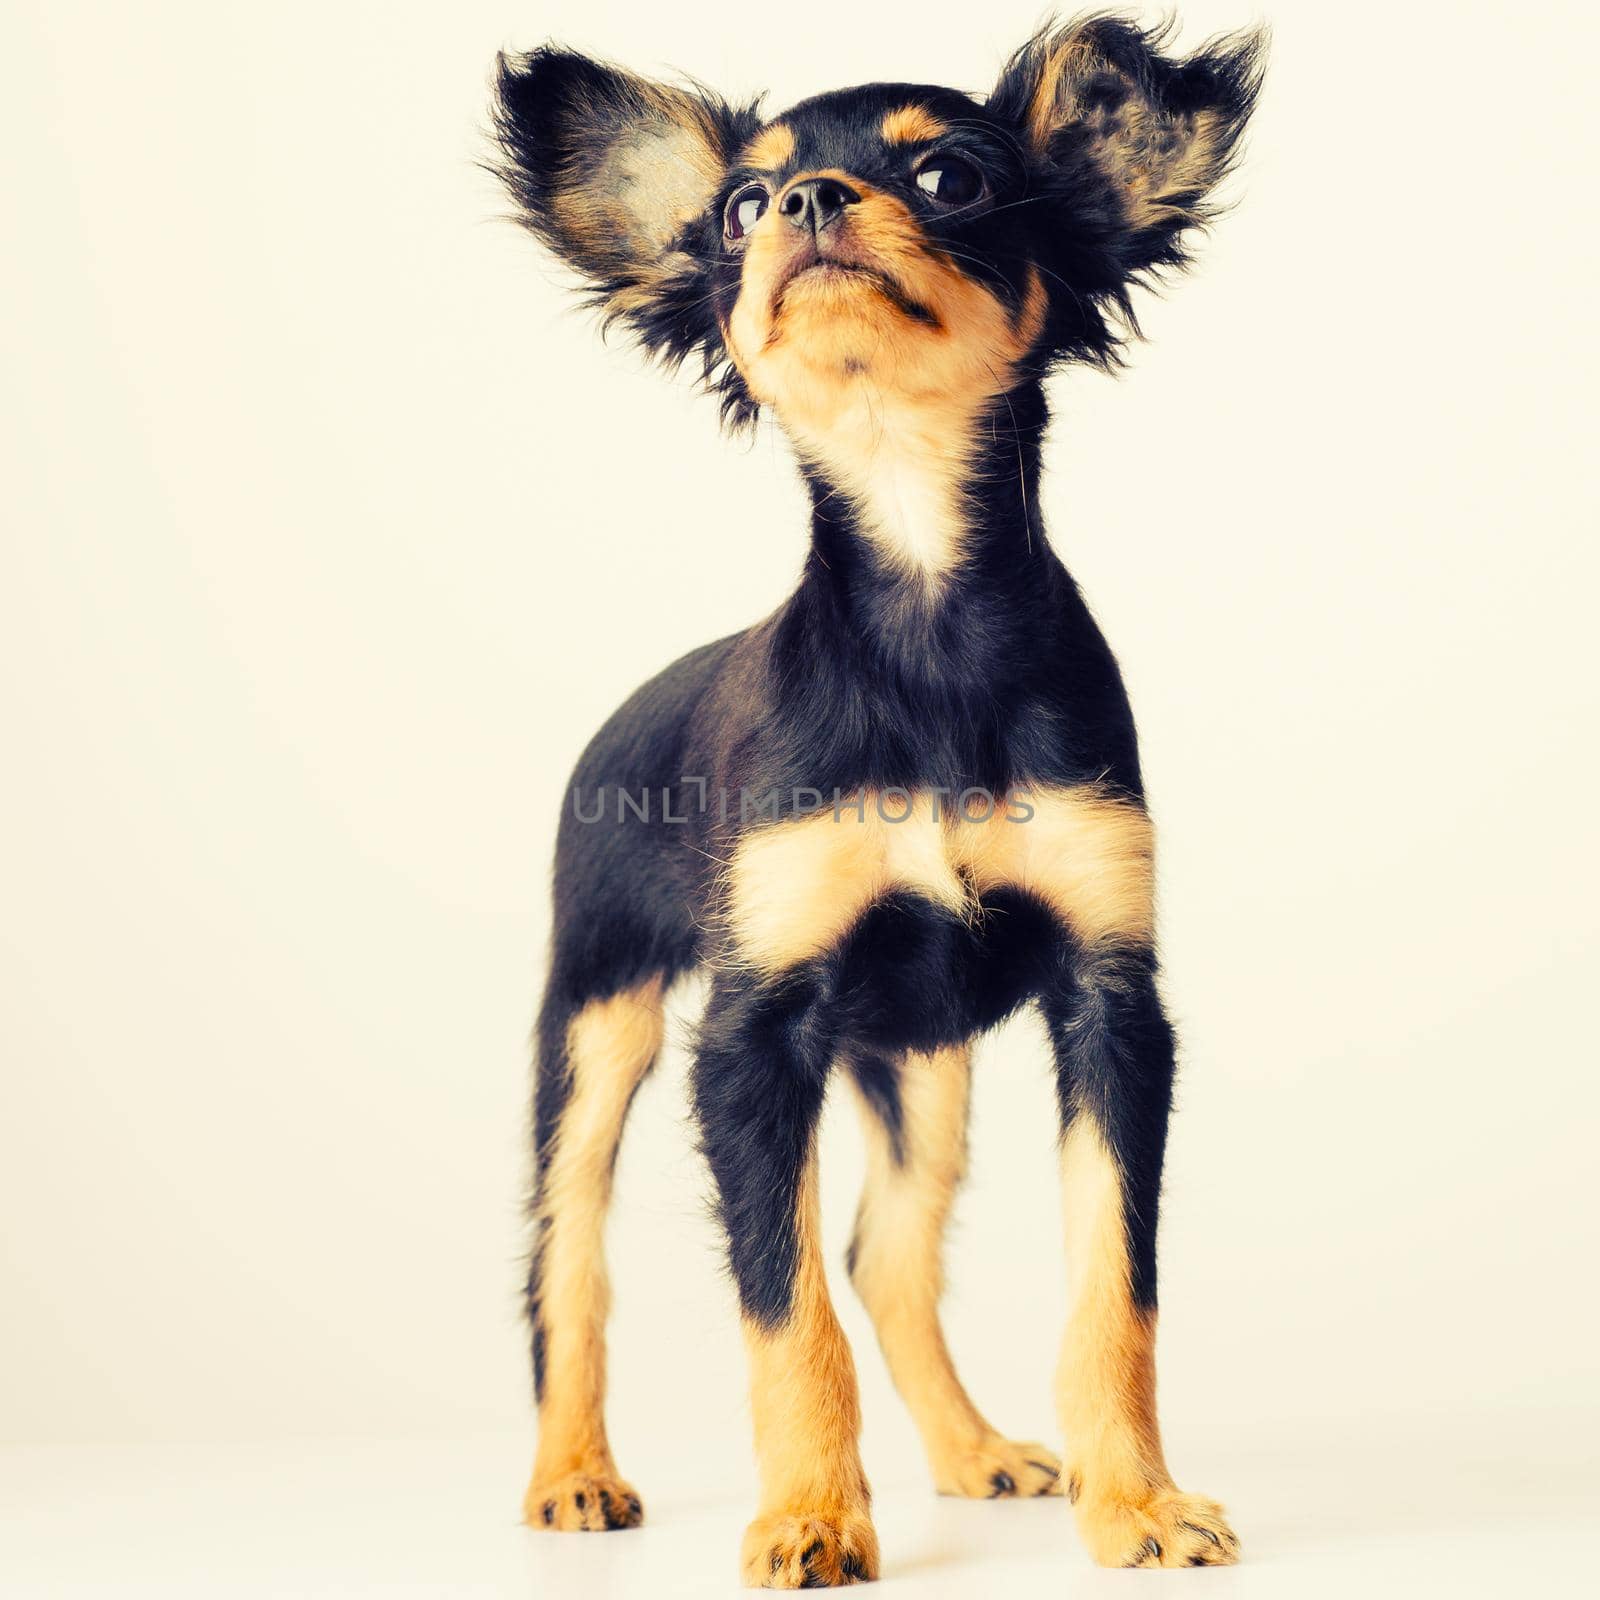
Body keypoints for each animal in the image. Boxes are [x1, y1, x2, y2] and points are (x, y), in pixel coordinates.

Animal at [492, 15, 1267, 1587]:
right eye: (739, 207)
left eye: (949, 175)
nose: (803, 203)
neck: (922, 609)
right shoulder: (753, 1034)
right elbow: (784, 1310)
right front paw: (807, 1519)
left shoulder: (1111, 1004)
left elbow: (1115, 1289)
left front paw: (1139, 1502)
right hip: (594, 1031)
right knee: (569, 1262)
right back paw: (574, 1476)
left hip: (919, 1064)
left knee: (884, 1253)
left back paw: (973, 1452)